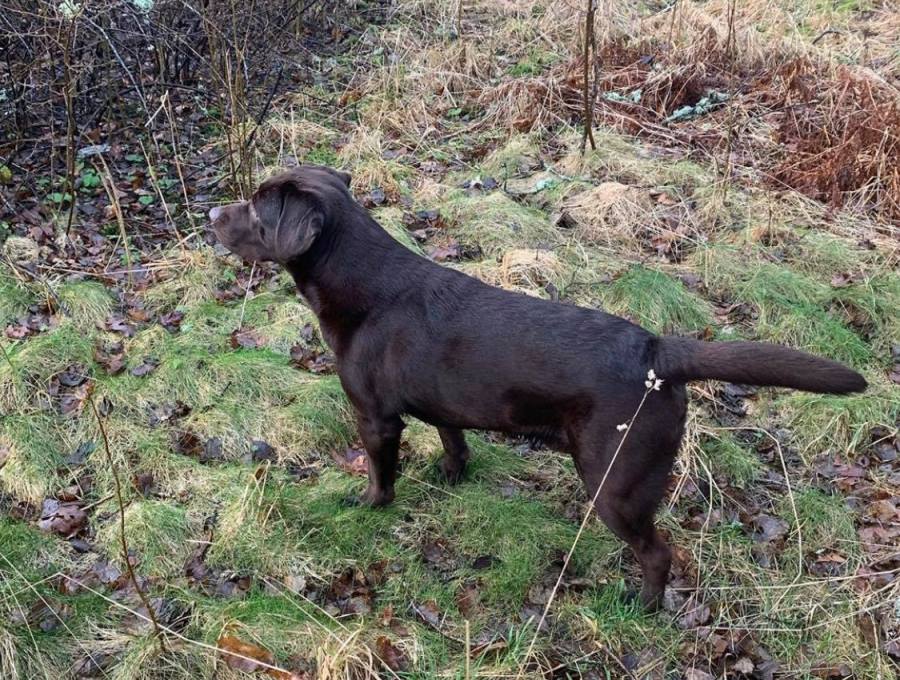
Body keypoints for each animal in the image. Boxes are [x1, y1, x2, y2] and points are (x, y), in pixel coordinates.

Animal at [210, 164, 866, 609]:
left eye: (258, 207)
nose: (211, 214)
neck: (363, 286)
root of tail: (658, 351)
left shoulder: (373, 415)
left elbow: (380, 471)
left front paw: (369, 504)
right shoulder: (444, 402)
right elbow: (454, 441)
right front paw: (450, 476)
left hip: (616, 483)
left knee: (659, 552)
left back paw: (642, 607)